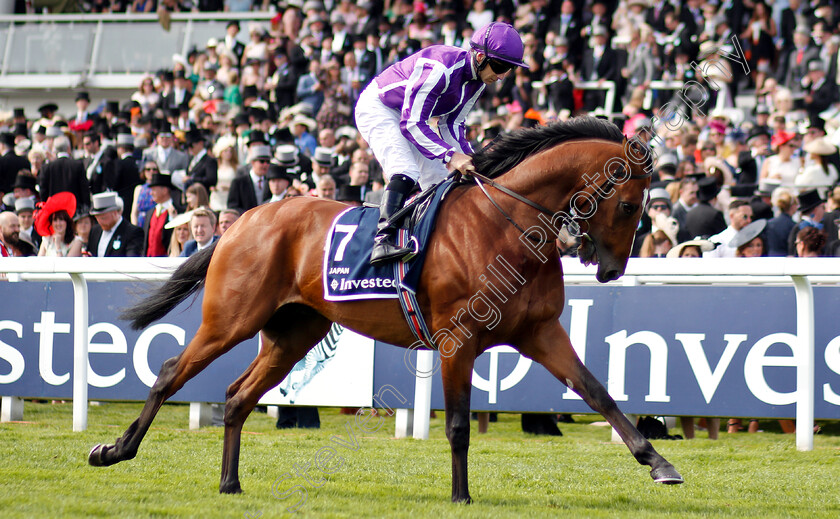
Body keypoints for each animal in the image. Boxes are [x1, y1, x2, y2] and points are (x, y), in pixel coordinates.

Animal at [88, 119, 684, 504]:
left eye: (644, 207)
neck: (505, 226)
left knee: (237, 396)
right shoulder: (458, 340)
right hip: (231, 319)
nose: (612, 269)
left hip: (292, 332)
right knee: (171, 371)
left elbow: (598, 392)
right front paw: (461, 497)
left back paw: (230, 483)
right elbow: (459, 424)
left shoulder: (541, 332)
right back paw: (113, 450)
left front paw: (659, 463)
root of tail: (243, 220)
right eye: (628, 204)